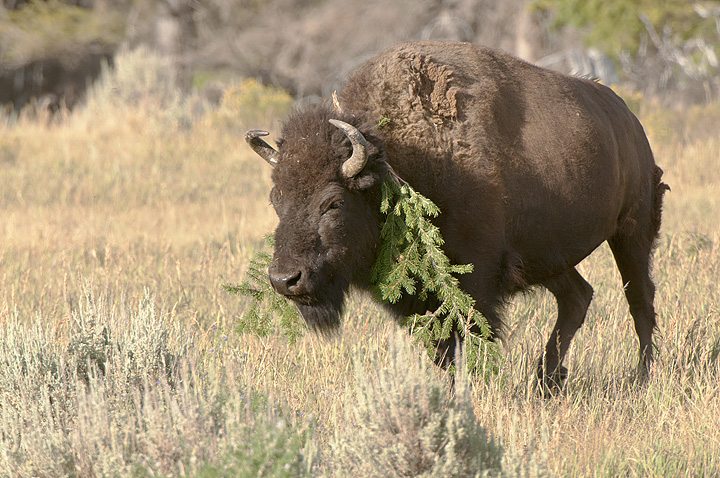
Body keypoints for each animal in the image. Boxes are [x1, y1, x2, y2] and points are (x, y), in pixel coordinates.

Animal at [245, 41, 668, 389]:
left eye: (333, 203)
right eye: (276, 199)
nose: (285, 279)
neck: (404, 159)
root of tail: (630, 121)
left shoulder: (476, 281)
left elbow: (470, 339)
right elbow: (441, 350)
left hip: (632, 232)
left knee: (640, 300)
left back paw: (642, 378)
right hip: (550, 255)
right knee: (577, 298)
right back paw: (546, 381)